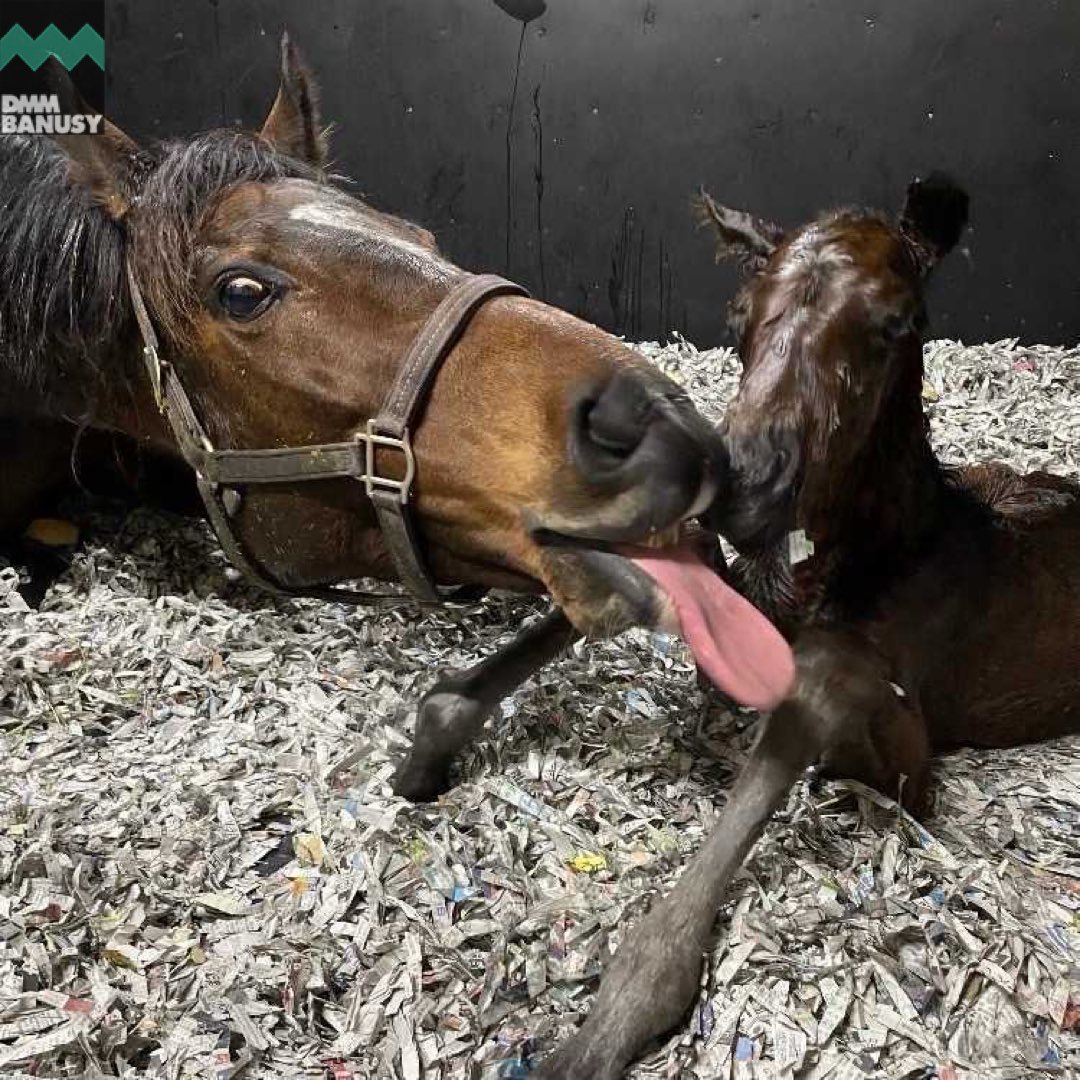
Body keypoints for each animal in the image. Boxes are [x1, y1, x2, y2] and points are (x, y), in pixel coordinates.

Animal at [531, 176, 1080, 1077]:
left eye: (900, 322)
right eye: (738, 316)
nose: (746, 486)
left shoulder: (911, 762)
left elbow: (810, 701)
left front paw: (606, 1027)